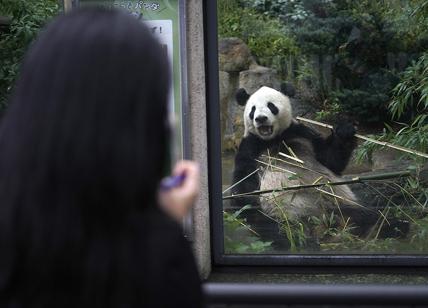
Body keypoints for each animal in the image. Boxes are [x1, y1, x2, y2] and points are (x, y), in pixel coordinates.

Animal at [231, 85, 378, 249]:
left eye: (271, 106)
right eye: (253, 110)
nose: (261, 119)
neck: (272, 139)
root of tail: (319, 224)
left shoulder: (302, 133)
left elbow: (331, 160)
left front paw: (344, 130)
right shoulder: (250, 146)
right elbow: (243, 186)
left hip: (336, 203)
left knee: (365, 215)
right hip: (285, 214)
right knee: (278, 230)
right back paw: (301, 241)